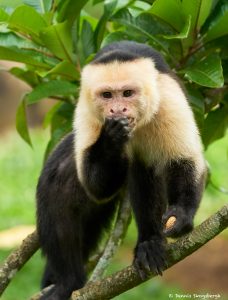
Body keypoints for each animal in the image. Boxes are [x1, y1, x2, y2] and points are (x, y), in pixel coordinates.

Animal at [36, 40, 206, 300]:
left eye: (127, 93)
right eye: (107, 95)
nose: (118, 110)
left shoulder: (167, 97)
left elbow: (183, 160)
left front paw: (181, 215)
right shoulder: (86, 111)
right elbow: (96, 189)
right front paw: (111, 140)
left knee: (145, 167)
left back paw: (149, 242)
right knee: (58, 186)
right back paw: (68, 281)